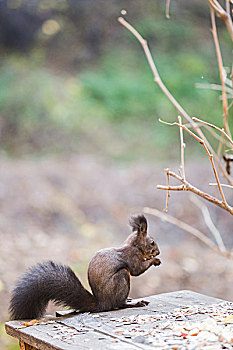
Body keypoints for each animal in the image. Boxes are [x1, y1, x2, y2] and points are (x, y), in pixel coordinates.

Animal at [8, 213, 160, 320]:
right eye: (152, 242)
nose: (158, 252)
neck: (134, 245)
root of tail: (103, 304)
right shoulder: (132, 256)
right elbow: (136, 270)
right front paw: (155, 260)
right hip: (121, 278)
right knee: (118, 304)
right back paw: (133, 303)